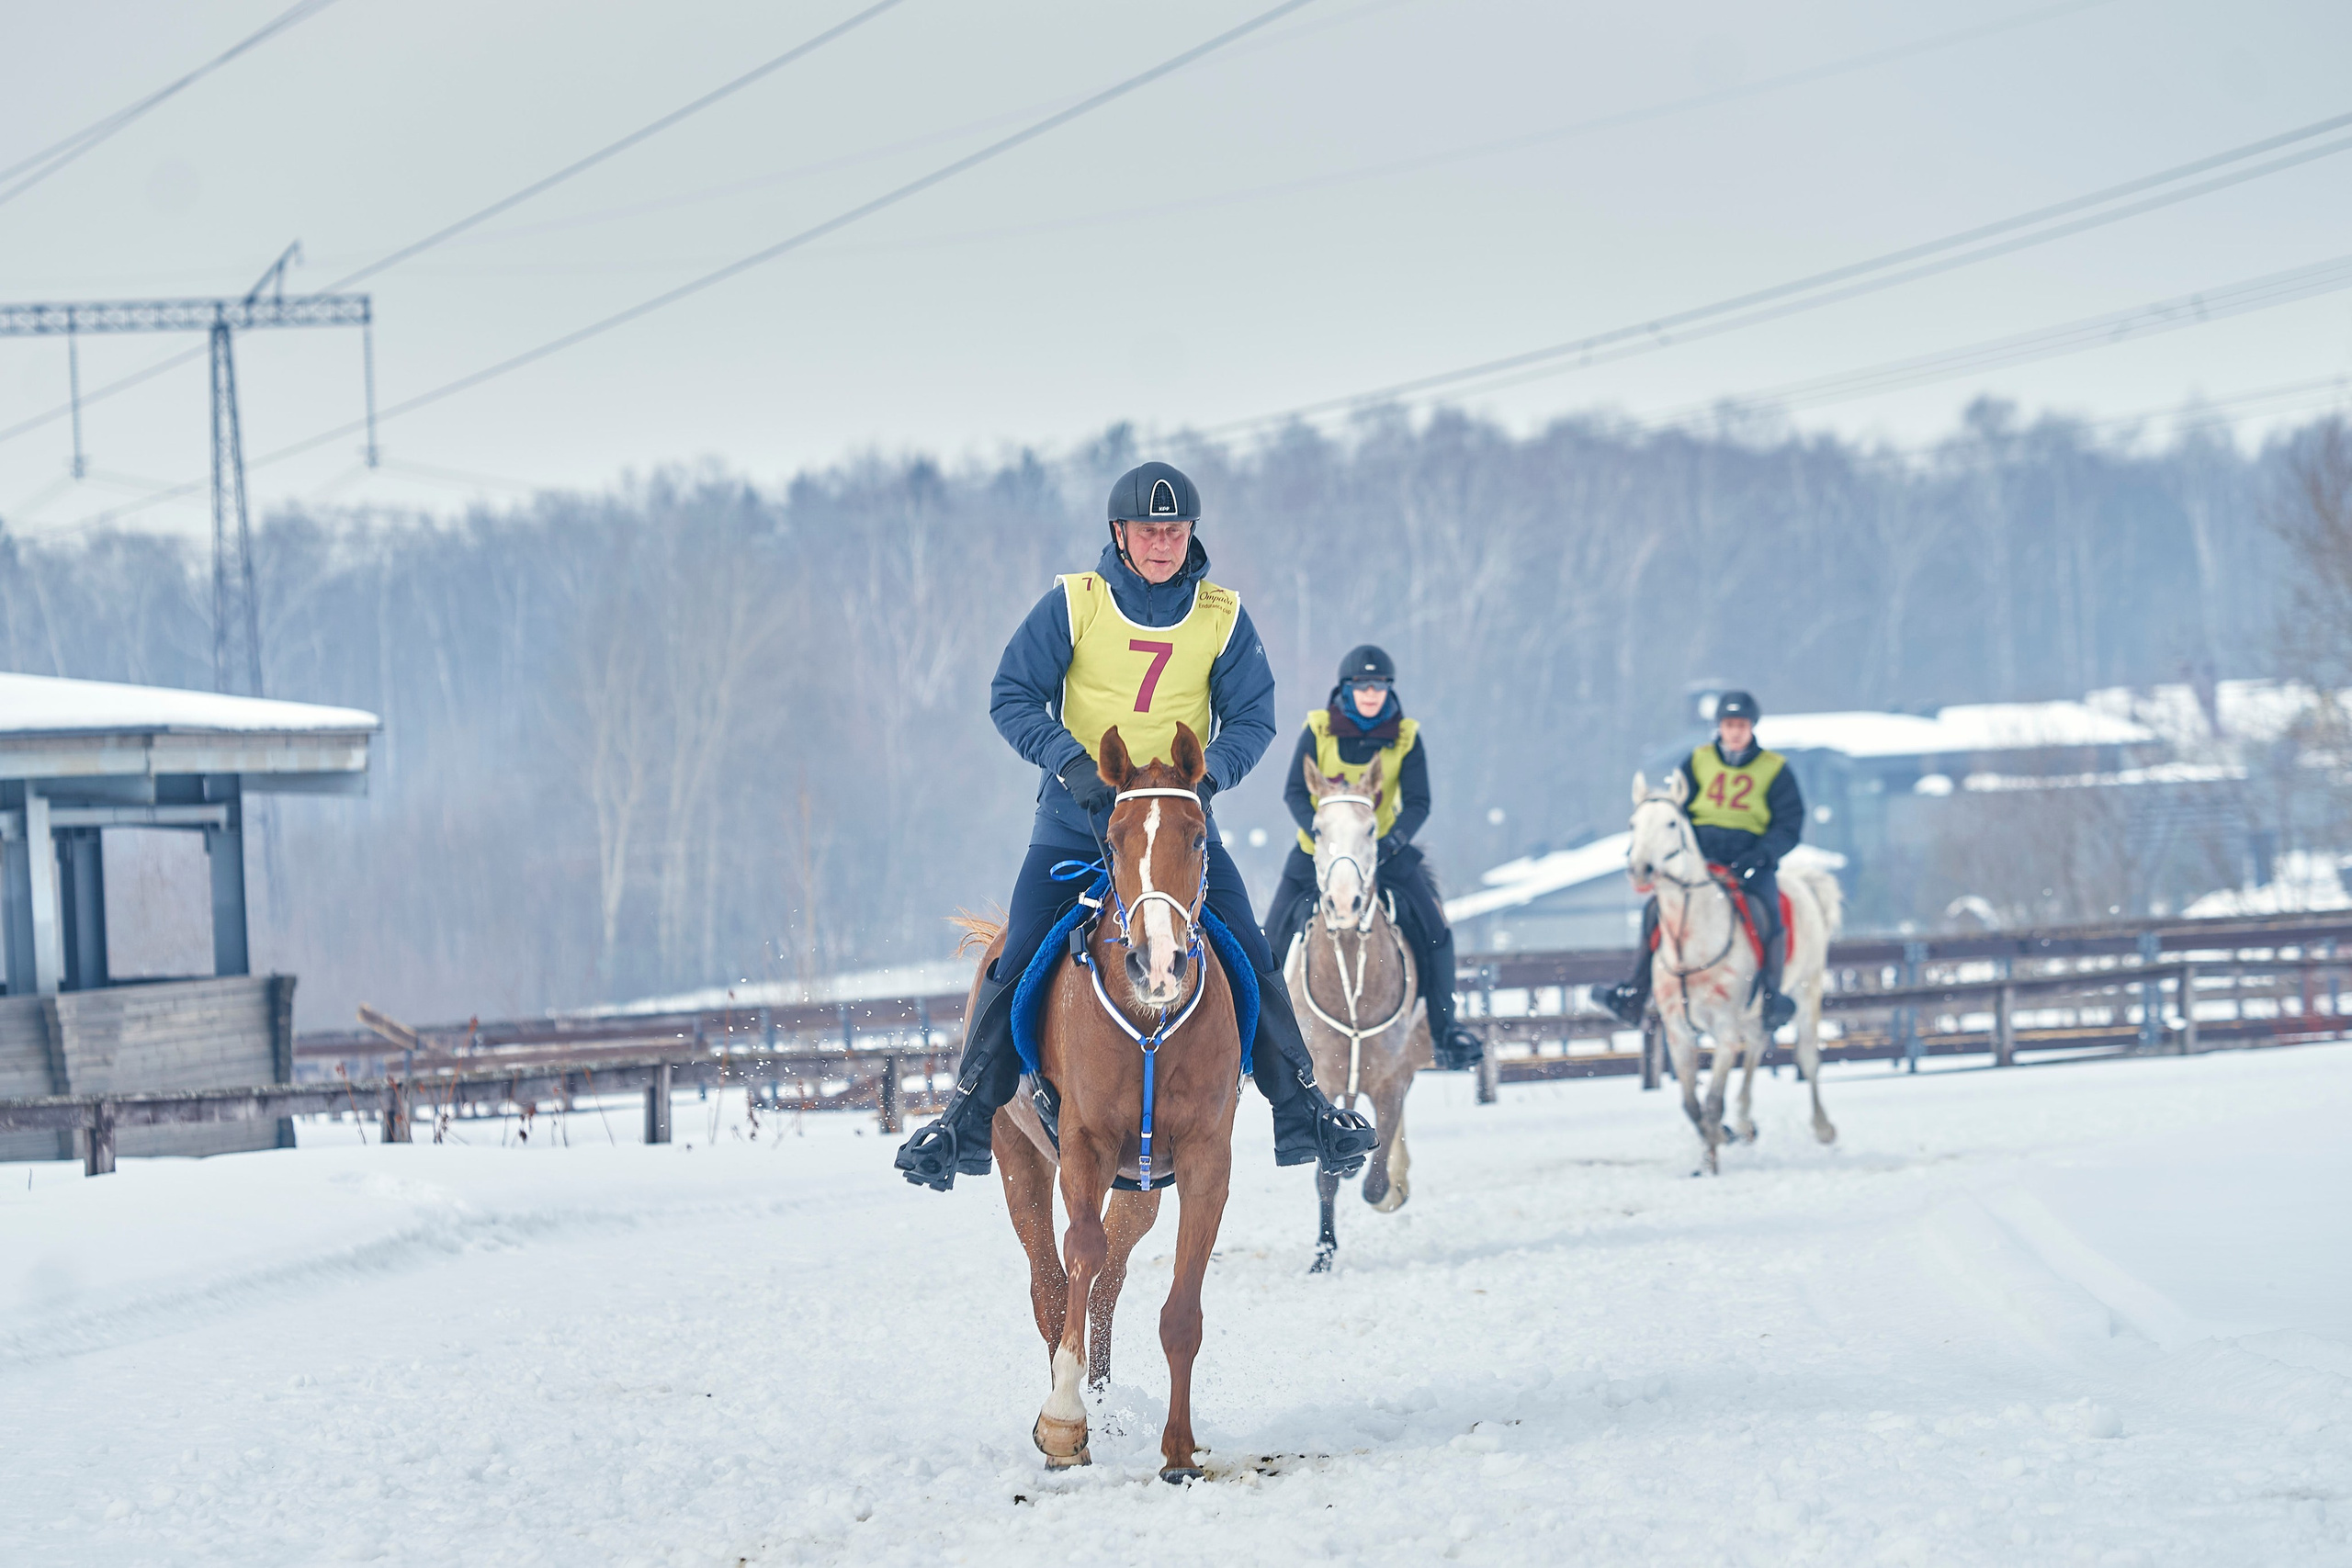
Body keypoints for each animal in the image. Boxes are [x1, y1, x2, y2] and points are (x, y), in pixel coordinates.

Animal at [962, 722, 1242, 1483]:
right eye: (1113, 841)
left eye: (1197, 837)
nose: (1159, 963)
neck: (1149, 1024)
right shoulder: (1083, 1145)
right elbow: (1078, 1254)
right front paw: (1062, 1421)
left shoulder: (1206, 1159)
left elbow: (1180, 1311)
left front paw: (1178, 1450)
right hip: (1019, 1157)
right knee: (1053, 1282)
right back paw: (1076, 1414)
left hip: (1140, 1186)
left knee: (1109, 1280)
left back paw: (1105, 1399)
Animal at [1284, 754, 1431, 1274]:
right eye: (1316, 827)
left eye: (1371, 829)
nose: (1344, 903)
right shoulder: (1325, 1078)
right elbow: (1326, 1176)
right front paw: (1323, 1255)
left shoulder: (1391, 1080)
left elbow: (1377, 1181)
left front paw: (1387, 1183)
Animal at [1626, 770, 1843, 1174]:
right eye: (1633, 824)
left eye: (1672, 823)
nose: (1640, 869)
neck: (1690, 942)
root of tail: (1803, 882)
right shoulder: (1678, 1034)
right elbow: (1691, 1104)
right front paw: (1717, 1141)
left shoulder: (1725, 1033)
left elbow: (1713, 1100)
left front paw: (1712, 1158)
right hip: (1755, 1014)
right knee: (1757, 1047)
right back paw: (1743, 1125)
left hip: (1807, 992)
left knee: (1807, 1058)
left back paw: (1823, 1128)